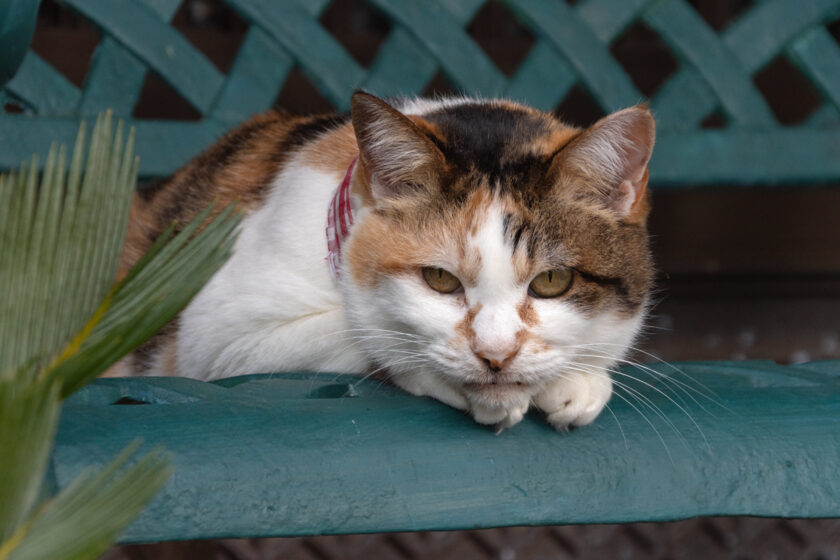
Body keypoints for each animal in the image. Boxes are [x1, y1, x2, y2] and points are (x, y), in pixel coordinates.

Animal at [118, 93, 656, 434]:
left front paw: (579, 380)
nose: (495, 356)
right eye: (439, 278)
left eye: (551, 281)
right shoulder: (214, 337)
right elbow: (365, 332)